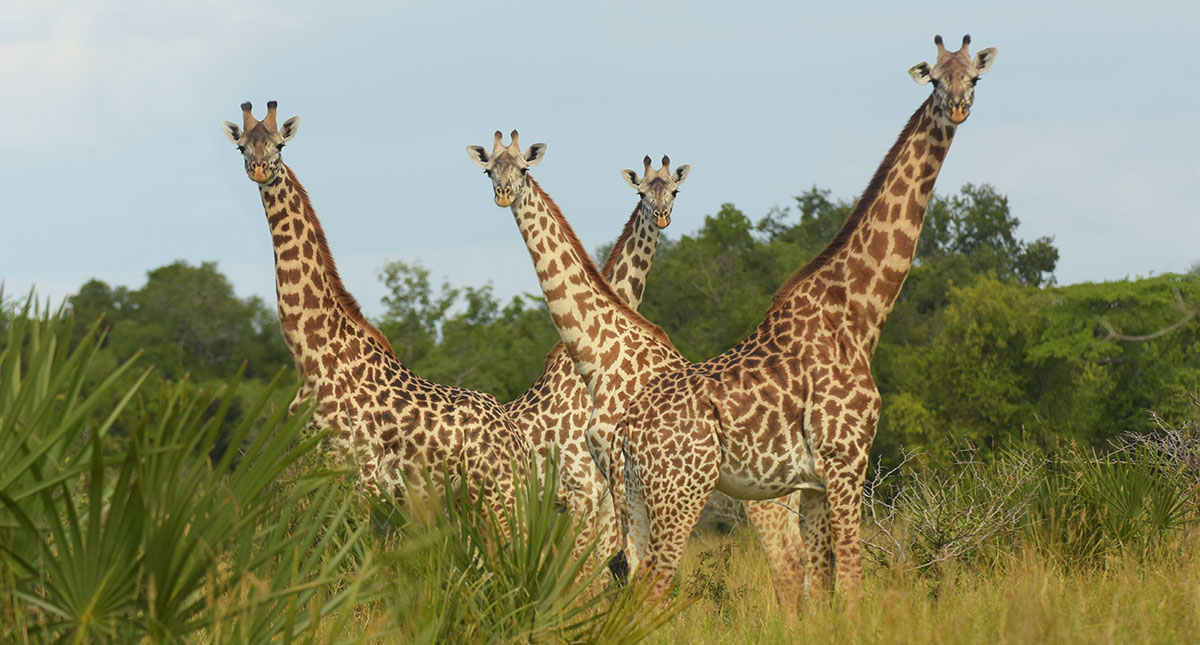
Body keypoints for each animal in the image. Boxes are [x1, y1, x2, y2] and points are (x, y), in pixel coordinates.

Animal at [221, 101, 529, 519]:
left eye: (280, 145)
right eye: (242, 147)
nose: (259, 169)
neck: (311, 352)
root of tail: (517, 439)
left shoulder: (361, 473)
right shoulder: (308, 461)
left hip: (500, 496)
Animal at [613, 35, 998, 598]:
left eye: (972, 77)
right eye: (934, 79)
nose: (957, 108)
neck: (858, 316)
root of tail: (624, 432)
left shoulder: (814, 483)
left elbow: (820, 585)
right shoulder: (846, 460)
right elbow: (853, 582)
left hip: (639, 502)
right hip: (679, 494)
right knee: (649, 587)